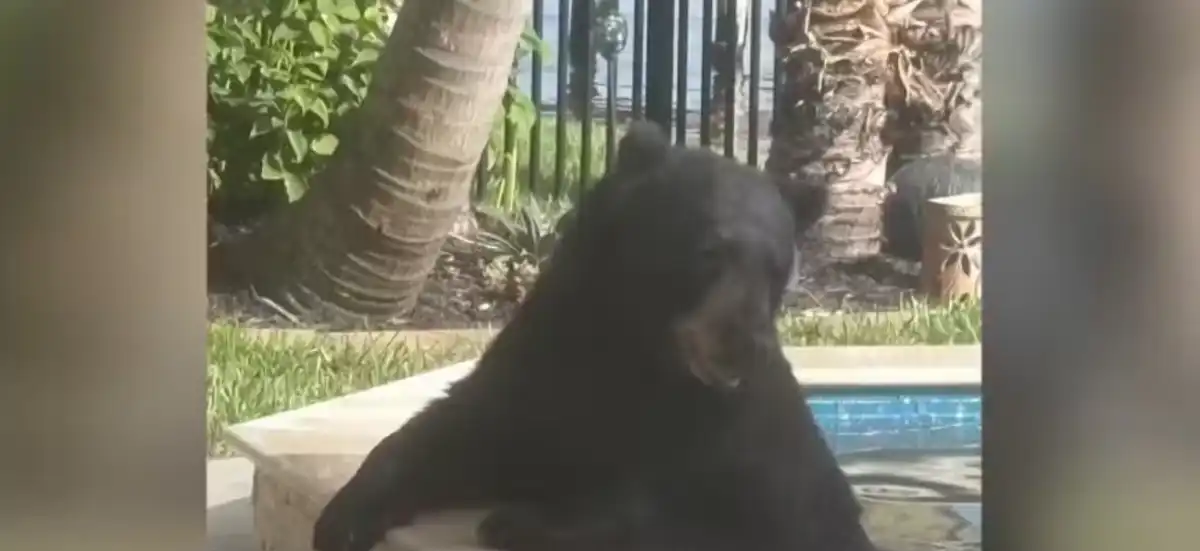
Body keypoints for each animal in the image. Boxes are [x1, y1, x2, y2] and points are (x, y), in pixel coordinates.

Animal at [312, 121, 874, 551]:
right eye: (710, 252)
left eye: (778, 268)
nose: (744, 347)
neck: (635, 344)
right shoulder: (544, 358)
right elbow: (461, 428)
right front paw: (343, 518)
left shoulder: (729, 441)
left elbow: (675, 502)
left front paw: (519, 521)